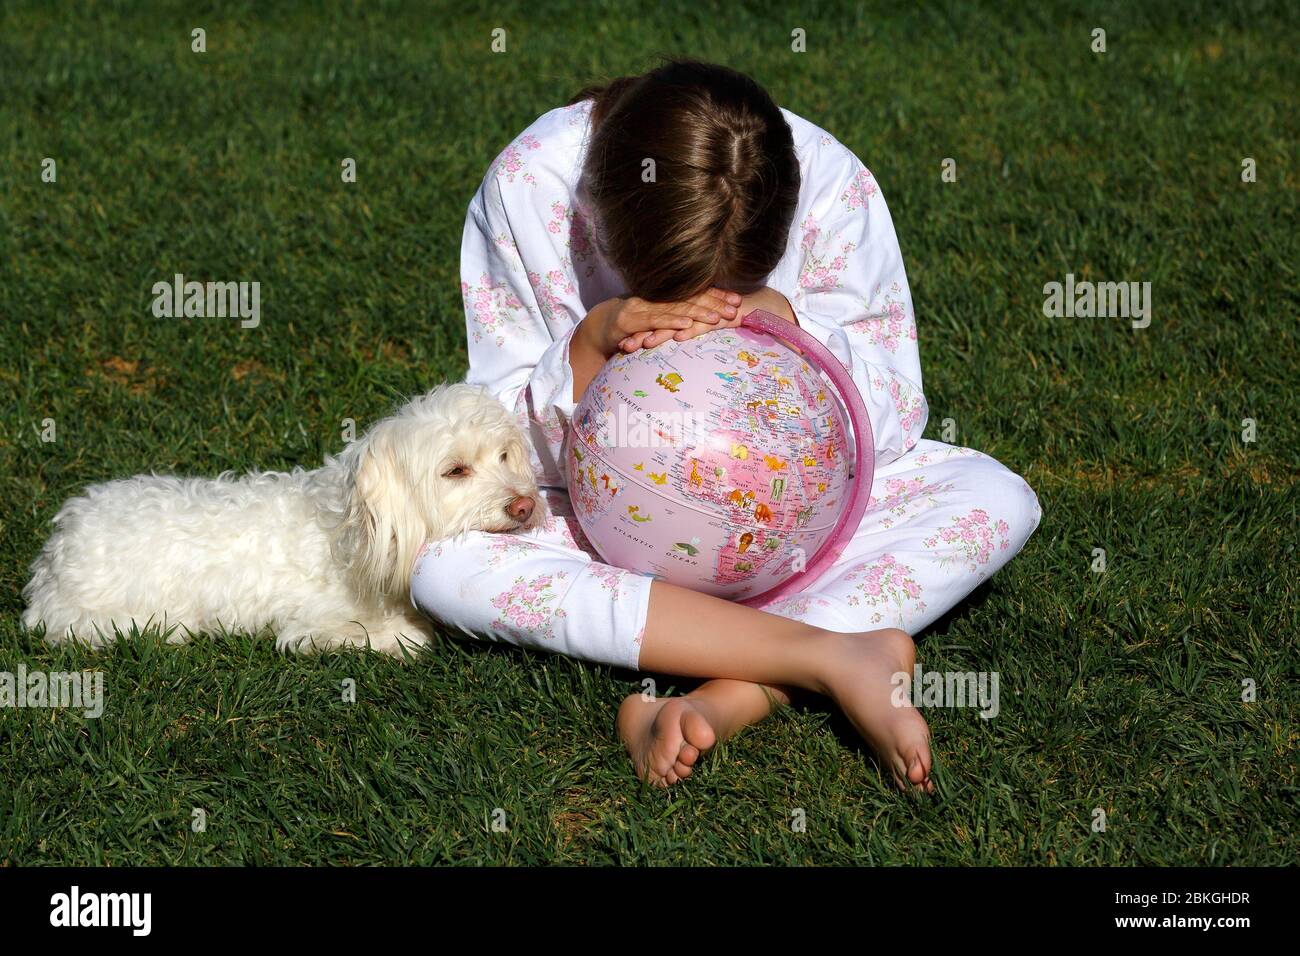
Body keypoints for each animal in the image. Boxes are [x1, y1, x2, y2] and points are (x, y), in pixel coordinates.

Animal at [25, 382, 543, 658]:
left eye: (504, 456)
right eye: (455, 471)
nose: (525, 505)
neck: (356, 534)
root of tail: (52, 559)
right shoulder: (311, 624)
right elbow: (395, 636)